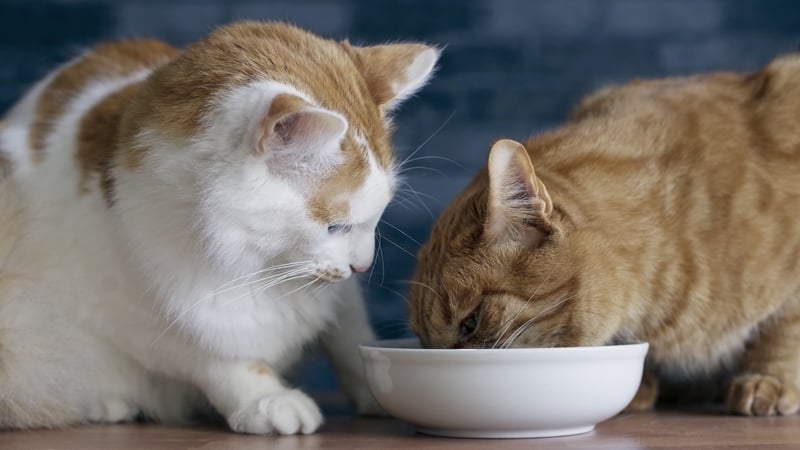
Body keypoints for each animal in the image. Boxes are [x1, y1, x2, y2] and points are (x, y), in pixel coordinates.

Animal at [0, 22, 438, 436]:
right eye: (335, 226)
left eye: (378, 217)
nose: (363, 265)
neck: (256, 264)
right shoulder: (150, 312)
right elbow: (221, 360)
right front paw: (266, 400)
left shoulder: (337, 295)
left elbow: (350, 339)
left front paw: (379, 389)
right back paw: (107, 404)